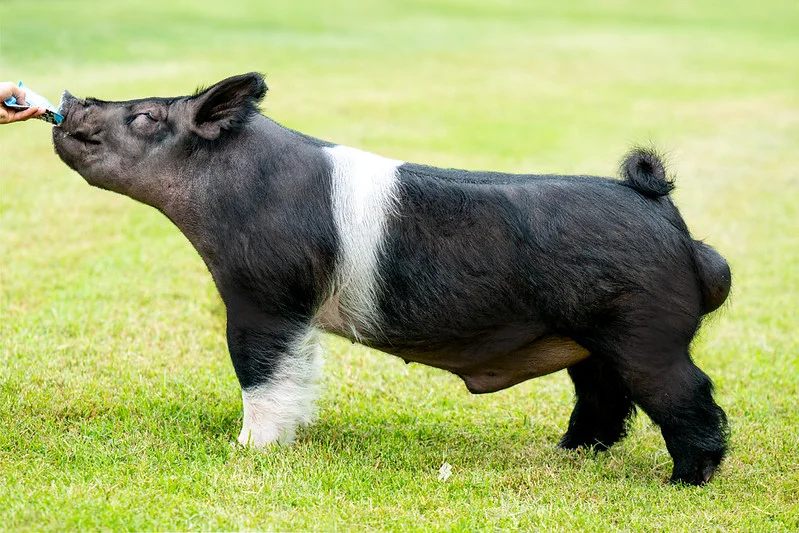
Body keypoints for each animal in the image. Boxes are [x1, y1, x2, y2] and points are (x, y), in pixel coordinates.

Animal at [52, 72, 731, 485]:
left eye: (146, 116)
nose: (73, 98)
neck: (237, 188)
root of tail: (664, 214)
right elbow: (296, 373)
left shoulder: (264, 298)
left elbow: (261, 374)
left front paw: (248, 450)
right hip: (591, 341)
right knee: (604, 397)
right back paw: (568, 452)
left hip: (646, 332)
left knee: (689, 395)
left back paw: (684, 481)